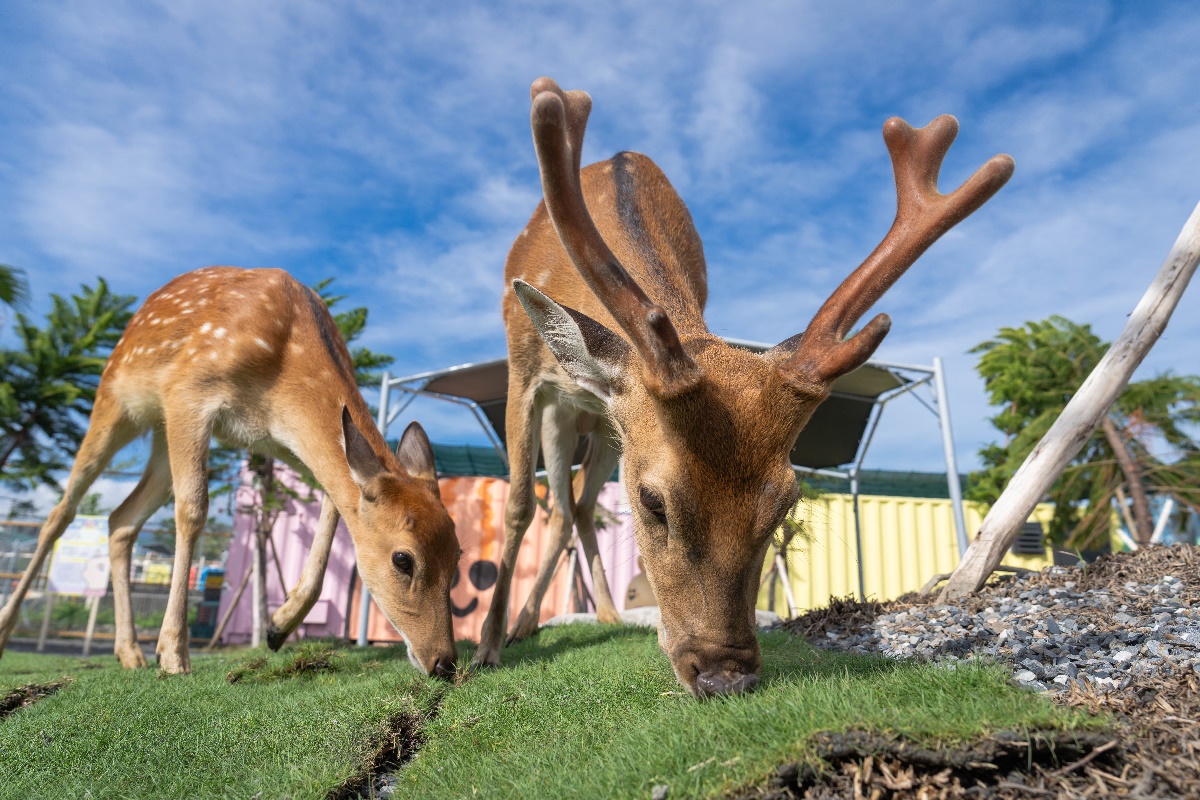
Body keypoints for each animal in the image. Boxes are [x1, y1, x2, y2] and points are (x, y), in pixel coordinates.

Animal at [0, 267, 458, 676]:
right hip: (116, 401)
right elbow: (193, 509)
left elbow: (334, 496)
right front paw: (173, 654)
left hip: (162, 439)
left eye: (458, 556)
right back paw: (10, 631)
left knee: (120, 519)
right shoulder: (188, 393)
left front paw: (278, 625)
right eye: (403, 559)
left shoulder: (276, 439)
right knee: (61, 512)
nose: (445, 663)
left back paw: (129, 652)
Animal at [477, 77, 1012, 695]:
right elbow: (518, 503)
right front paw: (485, 648)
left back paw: (607, 616)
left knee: (578, 508)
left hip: (605, 433)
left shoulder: (618, 419)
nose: (724, 675)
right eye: (653, 503)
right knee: (558, 506)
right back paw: (522, 626)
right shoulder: (523, 368)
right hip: (563, 418)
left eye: (786, 502)